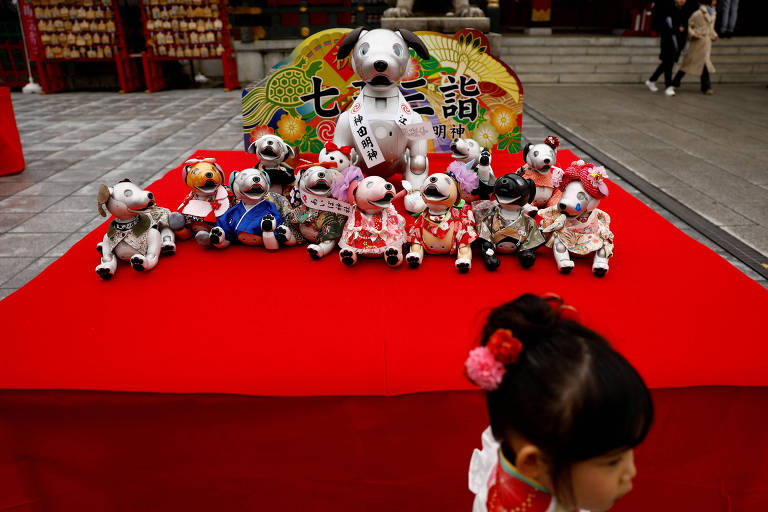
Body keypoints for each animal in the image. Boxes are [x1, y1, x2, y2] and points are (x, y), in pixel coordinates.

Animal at [334, 28, 436, 212]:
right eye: (363, 49)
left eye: (397, 50)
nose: (380, 63)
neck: (380, 99)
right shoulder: (345, 121)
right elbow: (339, 149)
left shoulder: (414, 121)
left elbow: (418, 160)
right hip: (361, 162)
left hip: (400, 162)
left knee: (416, 165)